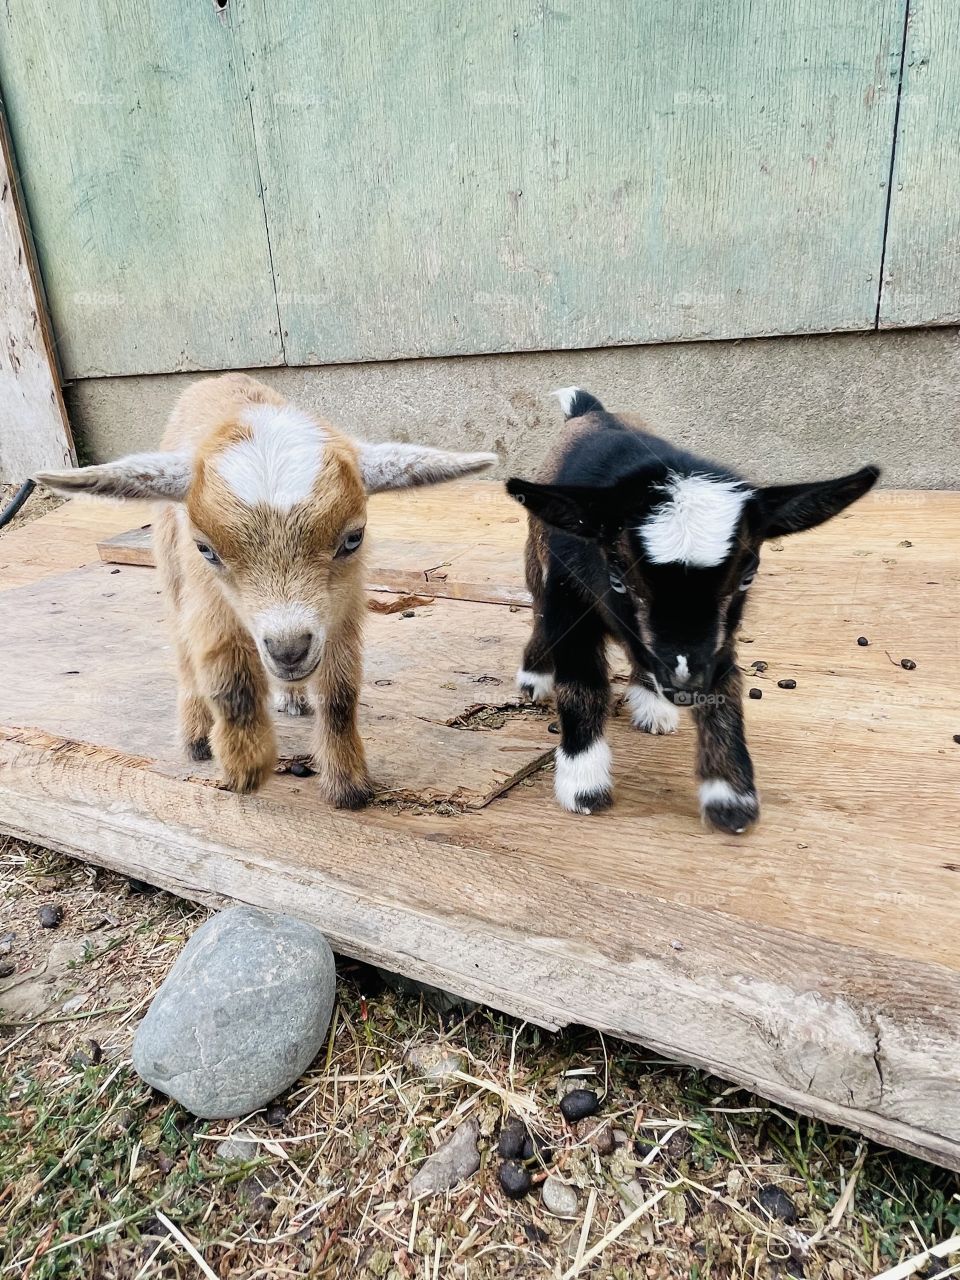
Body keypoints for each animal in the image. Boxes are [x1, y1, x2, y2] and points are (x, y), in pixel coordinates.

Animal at [37, 373, 495, 805]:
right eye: (206, 549)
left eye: (353, 538)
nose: (288, 651)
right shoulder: (210, 600)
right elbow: (230, 679)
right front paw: (245, 767)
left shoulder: (342, 606)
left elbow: (341, 692)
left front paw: (348, 784)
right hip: (170, 563)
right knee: (182, 647)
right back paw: (196, 733)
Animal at [506, 387, 879, 833]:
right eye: (618, 577)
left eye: (747, 576)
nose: (684, 685)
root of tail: (590, 411)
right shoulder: (568, 597)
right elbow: (582, 685)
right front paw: (584, 784)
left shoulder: (718, 638)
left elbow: (726, 690)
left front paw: (730, 797)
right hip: (536, 558)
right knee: (538, 613)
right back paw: (536, 676)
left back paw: (653, 706)